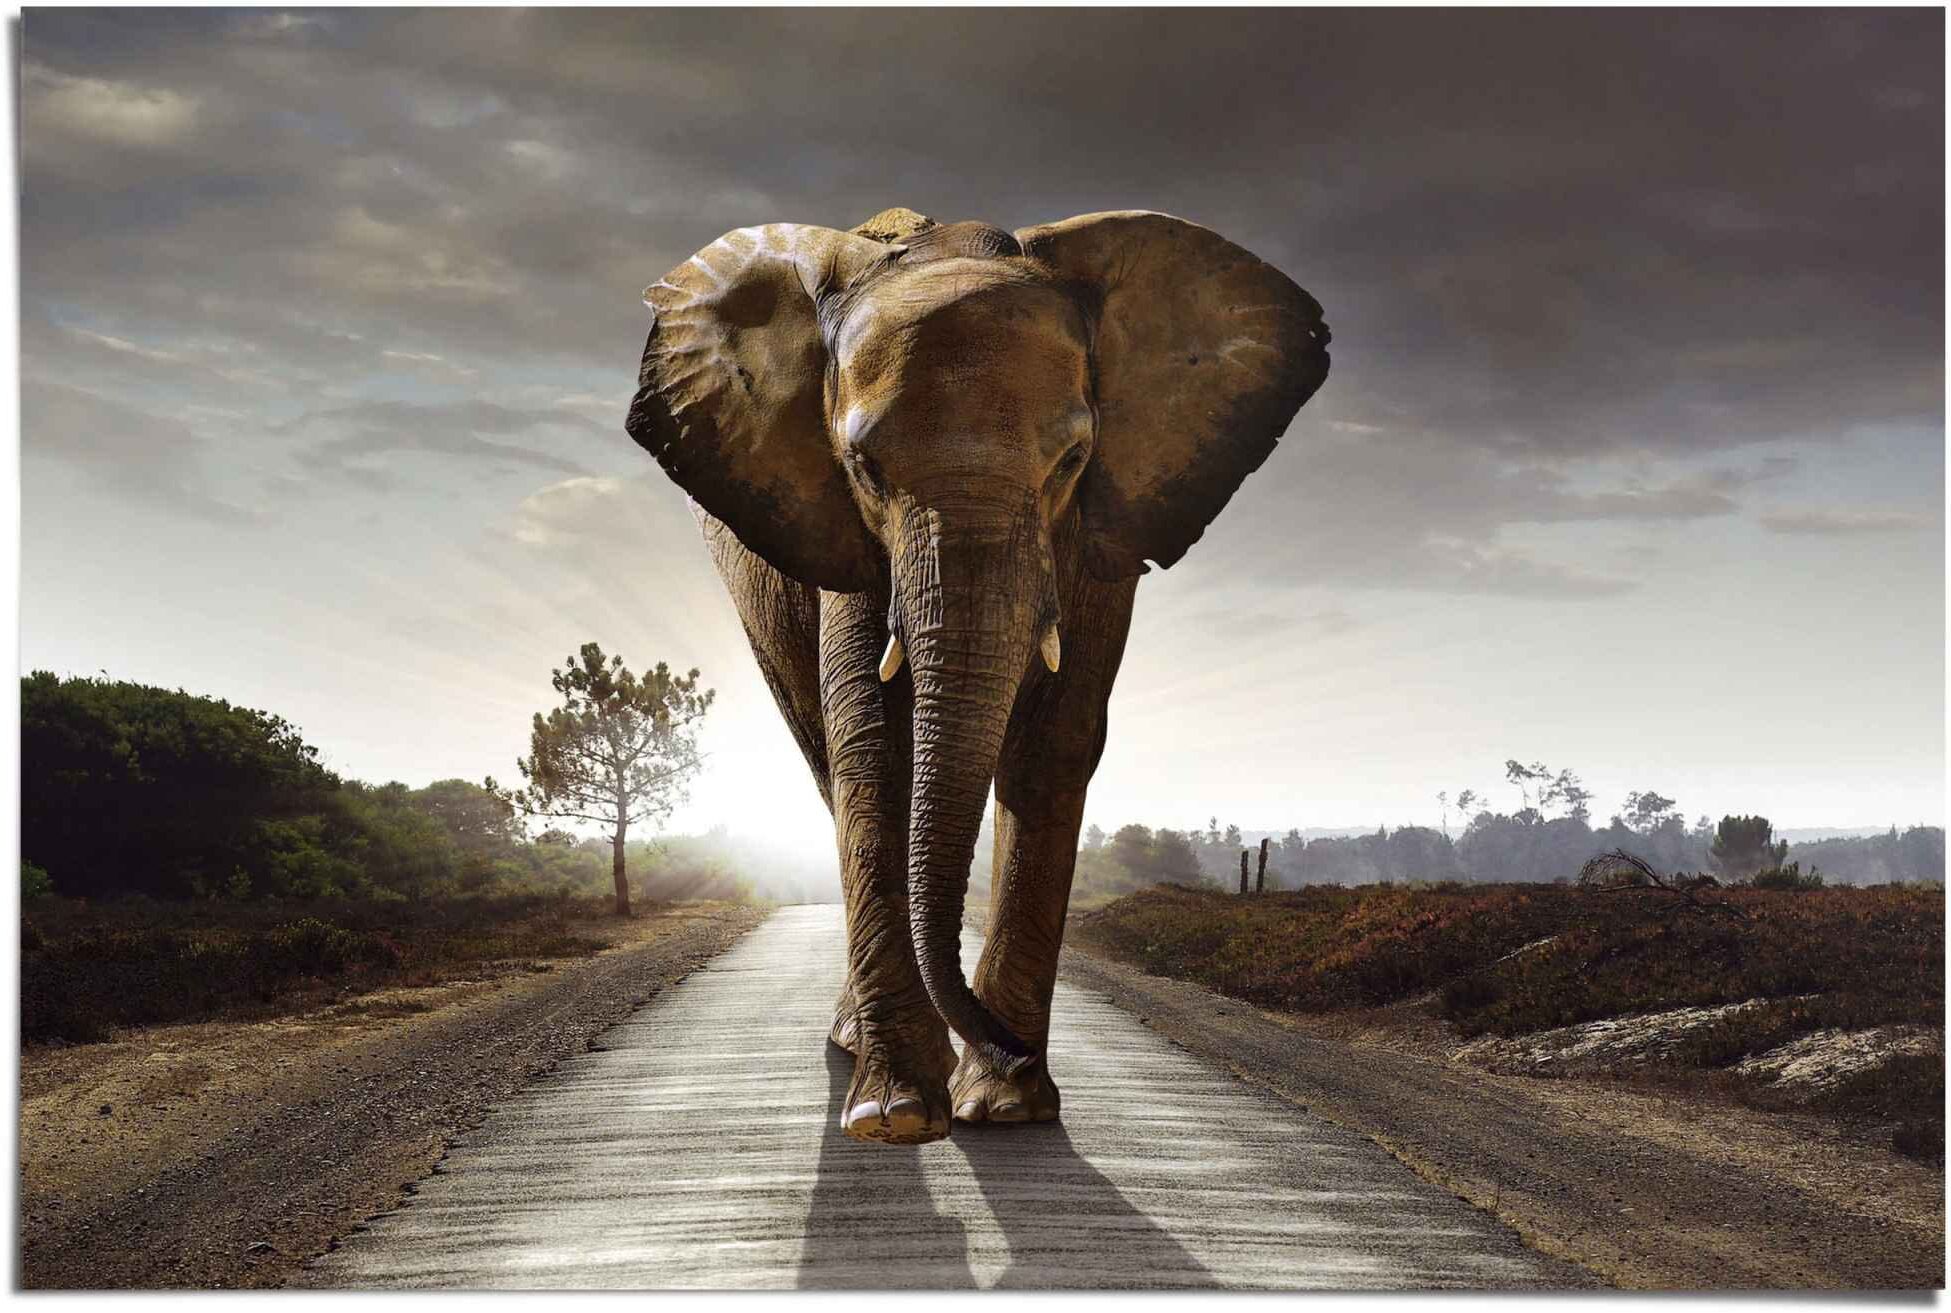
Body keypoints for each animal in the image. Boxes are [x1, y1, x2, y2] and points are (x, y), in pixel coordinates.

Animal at [626, 206, 1329, 1144]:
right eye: (863, 467)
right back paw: (858, 1047)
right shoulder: (844, 536)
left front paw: (1005, 1106)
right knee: (824, 758)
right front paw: (895, 1115)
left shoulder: (1101, 531)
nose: (1009, 1047)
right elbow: (873, 743)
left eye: (1071, 460)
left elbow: (1055, 742)